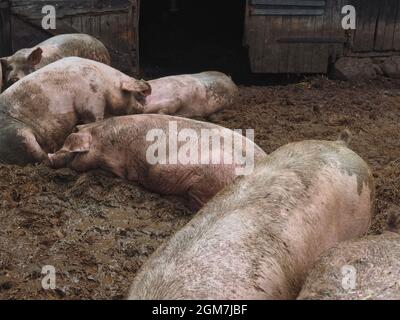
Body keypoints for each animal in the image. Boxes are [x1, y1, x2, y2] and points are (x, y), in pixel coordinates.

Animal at [0, 56, 152, 165]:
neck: (107, 84)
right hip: (20, 135)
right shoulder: (91, 100)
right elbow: (95, 118)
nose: (144, 109)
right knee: (40, 156)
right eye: (138, 96)